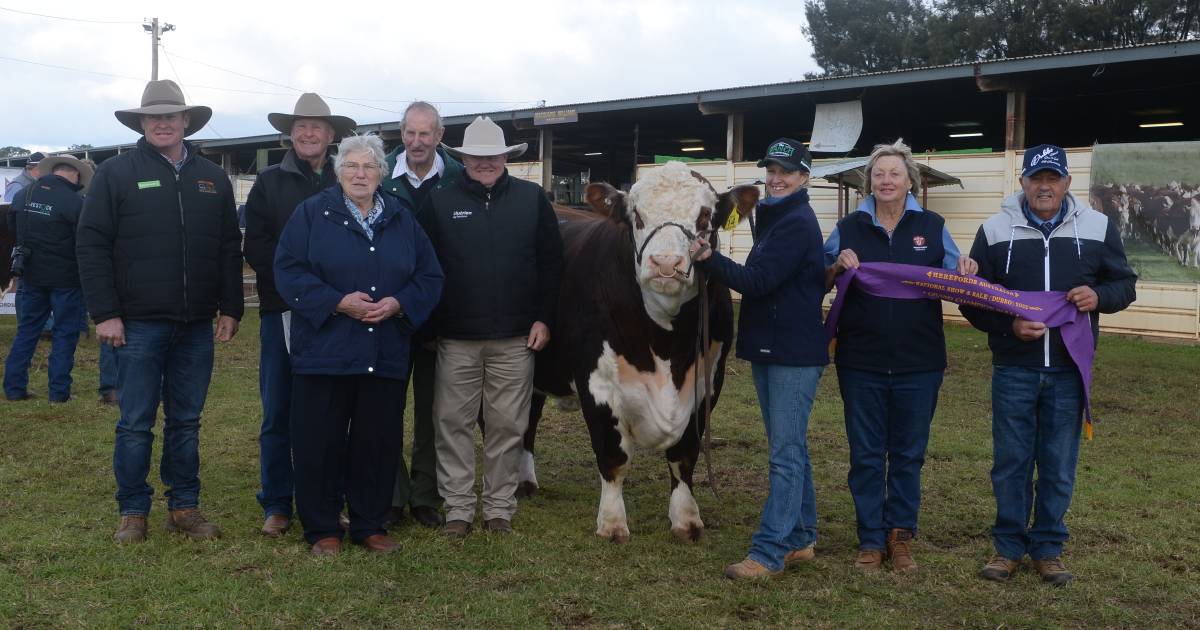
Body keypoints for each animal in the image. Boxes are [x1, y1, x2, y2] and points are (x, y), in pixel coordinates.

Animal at [520, 162, 753, 540]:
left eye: (705, 216)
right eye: (637, 215)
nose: (665, 263)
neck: (667, 345)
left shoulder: (708, 382)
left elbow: (685, 454)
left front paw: (686, 519)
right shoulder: (596, 383)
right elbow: (613, 458)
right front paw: (612, 523)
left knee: (528, 418)